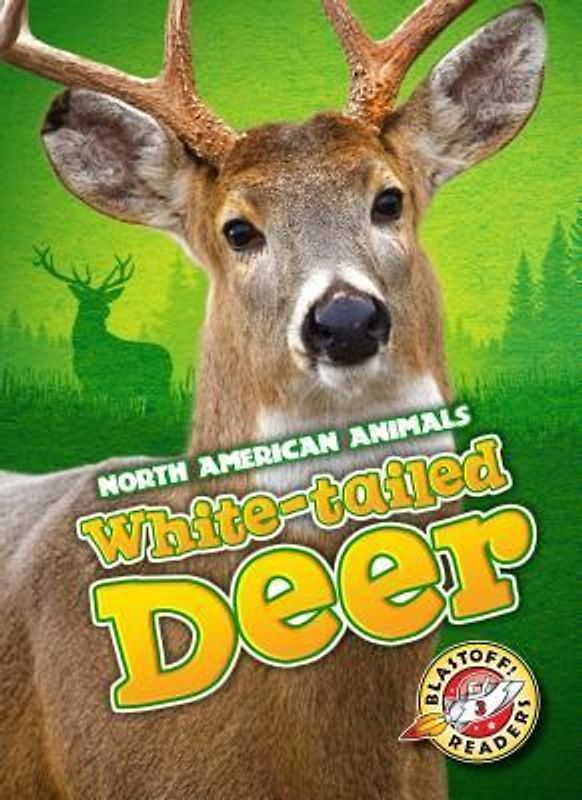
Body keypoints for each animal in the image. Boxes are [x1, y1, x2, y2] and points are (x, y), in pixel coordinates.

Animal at [32, 246, 172, 407]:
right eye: (87, 300)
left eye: (104, 300)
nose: (106, 310)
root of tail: (170, 359)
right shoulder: (87, 382)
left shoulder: (111, 384)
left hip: (160, 385)